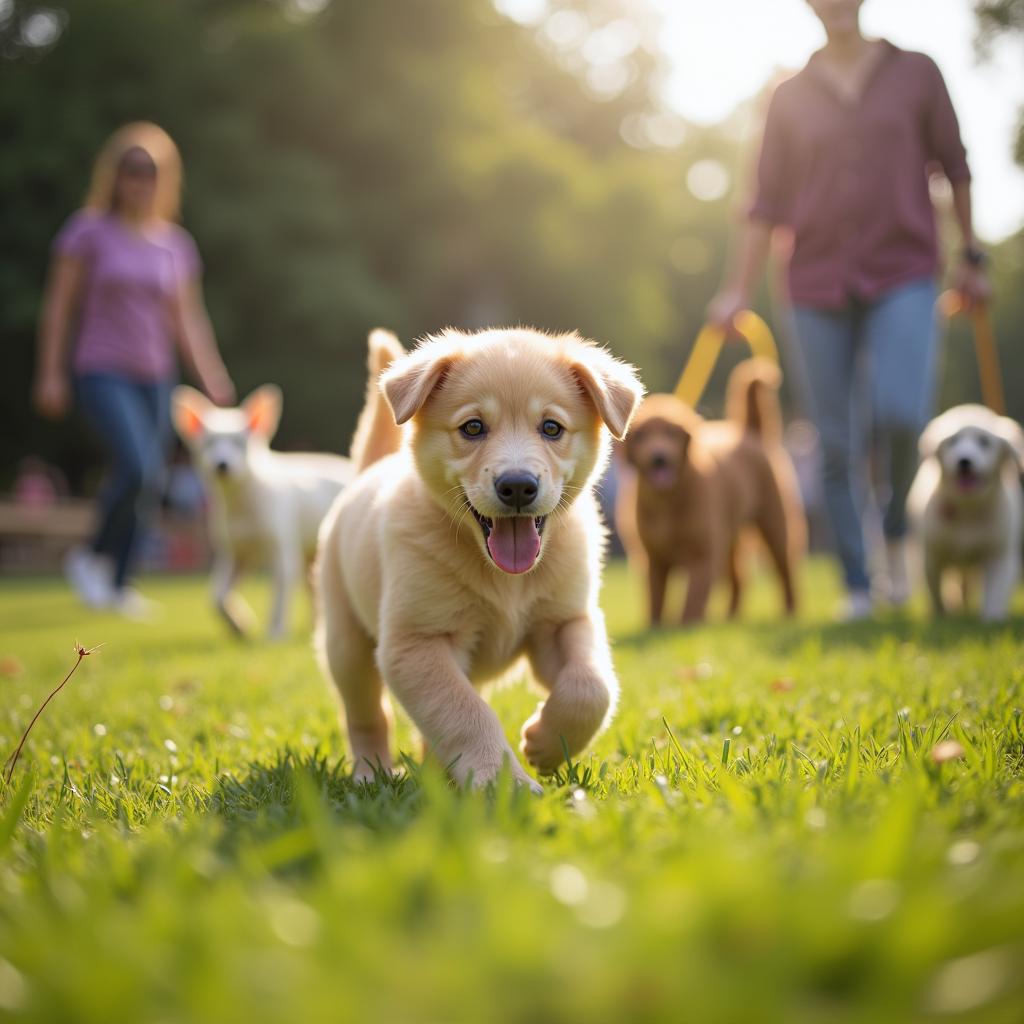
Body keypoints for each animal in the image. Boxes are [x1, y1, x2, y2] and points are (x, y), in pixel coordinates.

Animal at [174, 385, 354, 638]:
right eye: (209, 443)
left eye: (240, 444)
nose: (222, 465)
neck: (241, 503)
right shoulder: (234, 555)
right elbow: (217, 596)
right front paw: (239, 625)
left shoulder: (281, 551)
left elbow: (278, 594)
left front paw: (275, 632)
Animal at [315, 323, 643, 786]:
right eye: (473, 427)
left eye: (551, 427)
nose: (518, 486)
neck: (503, 577)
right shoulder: (415, 642)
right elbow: (466, 713)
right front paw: (504, 783)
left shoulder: (566, 620)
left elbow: (591, 686)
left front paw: (545, 744)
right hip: (347, 644)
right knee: (367, 715)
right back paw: (371, 773)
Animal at [618, 364, 802, 626]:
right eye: (641, 435)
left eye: (671, 433)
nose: (658, 458)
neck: (668, 502)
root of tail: (748, 432)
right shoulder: (654, 559)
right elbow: (655, 599)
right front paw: (655, 628)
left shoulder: (703, 556)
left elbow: (693, 600)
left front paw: (687, 627)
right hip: (730, 537)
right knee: (739, 578)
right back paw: (731, 617)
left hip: (774, 523)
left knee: (785, 569)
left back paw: (790, 611)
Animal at [909, 403, 1019, 618]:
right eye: (952, 441)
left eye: (984, 441)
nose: (964, 461)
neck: (968, 510)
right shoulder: (933, 556)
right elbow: (936, 593)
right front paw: (941, 616)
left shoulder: (999, 553)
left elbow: (995, 591)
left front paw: (992, 618)